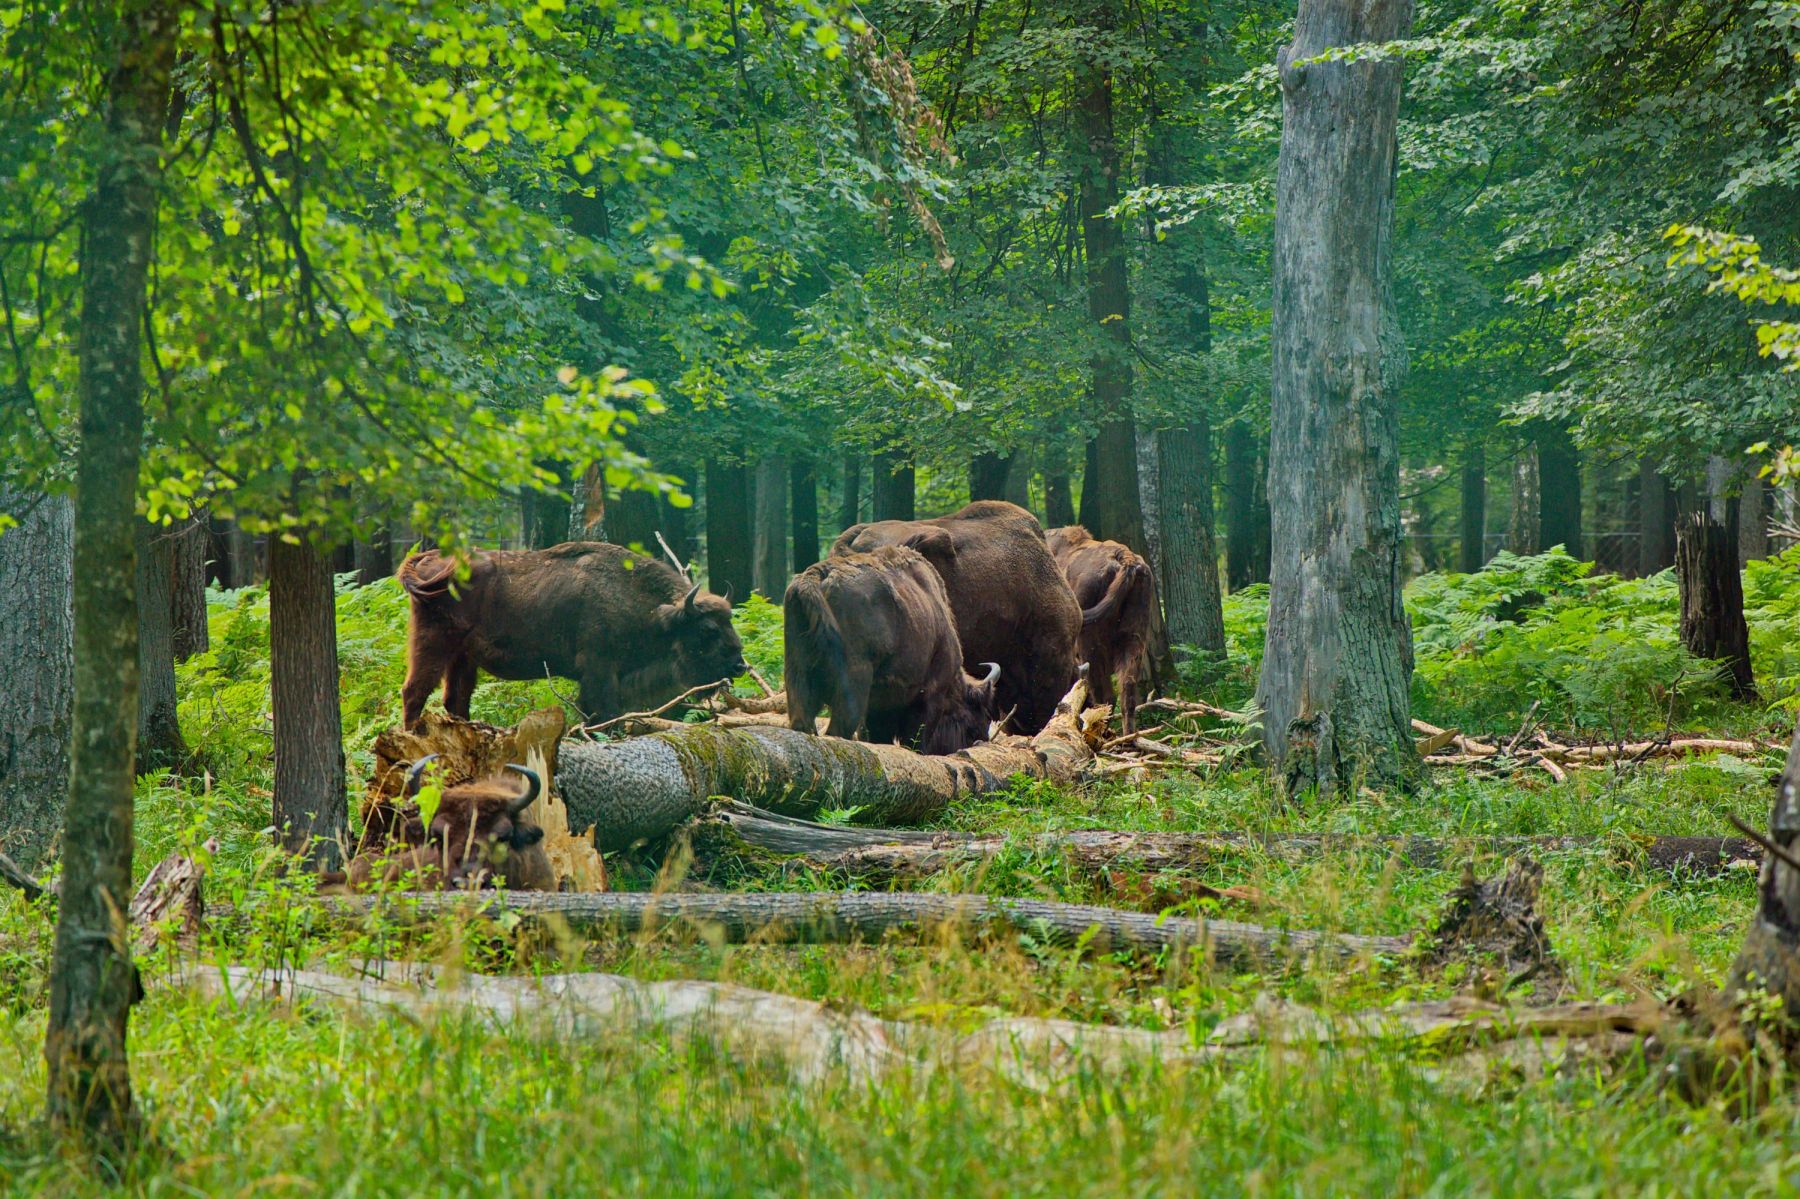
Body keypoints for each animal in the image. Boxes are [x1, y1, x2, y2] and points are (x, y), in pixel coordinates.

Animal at [399, 536, 745, 723]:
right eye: (708, 630)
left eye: (729, 622)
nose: (739, 665)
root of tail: (427, 558)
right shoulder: (599, 672)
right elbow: (603, 714)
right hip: (433, 644)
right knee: (415, 691)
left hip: (462, 657)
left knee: (454, 699)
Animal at [784, 547, 1008, 752]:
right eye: (978, 717)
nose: (978, 740)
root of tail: (815, 577)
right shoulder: (930, 696)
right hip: (853, 688)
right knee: (838, 731)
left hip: (797, 679)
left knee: (803, 725)